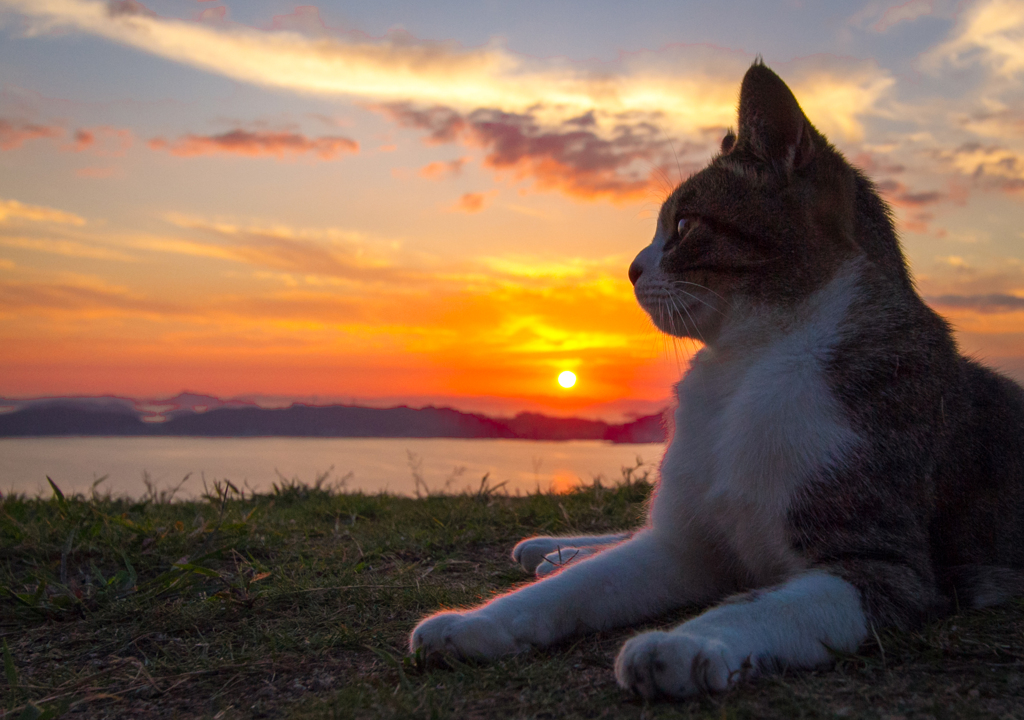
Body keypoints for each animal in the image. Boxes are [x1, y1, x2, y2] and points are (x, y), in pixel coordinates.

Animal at [407, 61, 1024, 696]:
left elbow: (765, 607)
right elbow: (575, 589)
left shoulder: (883, 568)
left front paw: (683, 644)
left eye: (682, 224)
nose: (630, 269)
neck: (742, 367)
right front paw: (473, 623)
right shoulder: (684, 548)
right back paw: (557, 551)